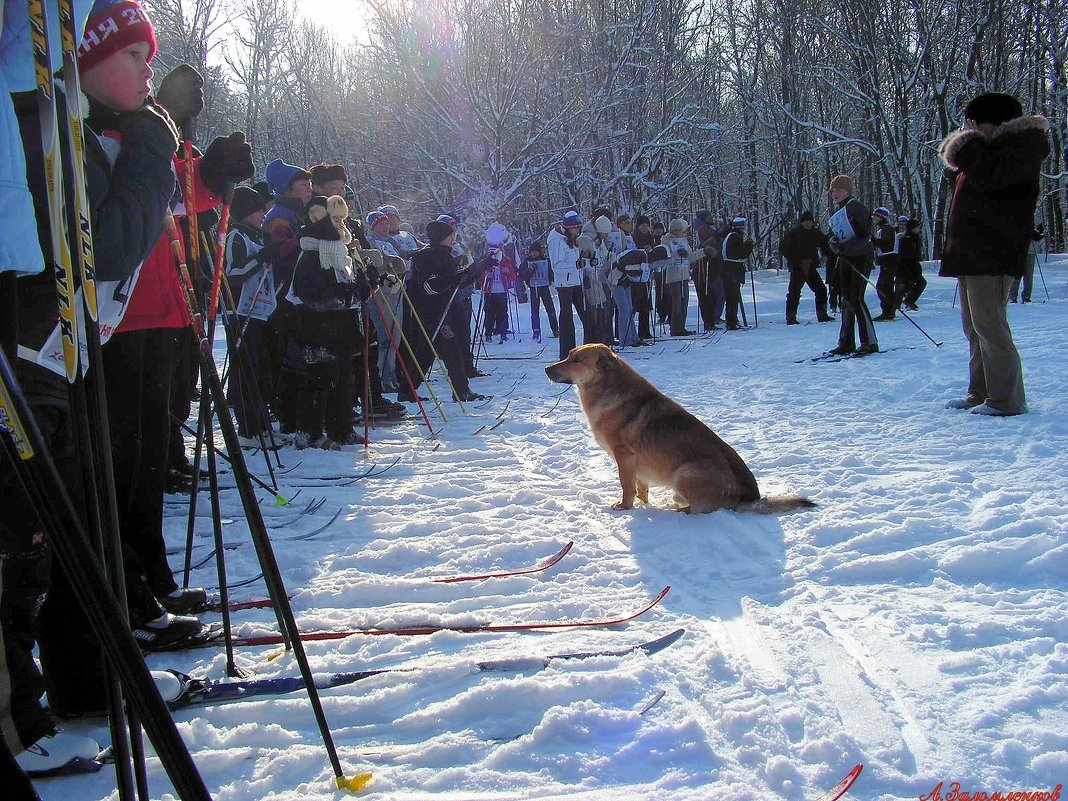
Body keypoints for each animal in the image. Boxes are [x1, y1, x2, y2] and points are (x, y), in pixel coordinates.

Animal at [546, 346, 811, 514]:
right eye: (568, 355)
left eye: (576, 360)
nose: (547, 369)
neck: (607, 388)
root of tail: (748, 497)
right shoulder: (637, 463)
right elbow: (640, 486)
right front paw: (643, 504)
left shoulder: (624, 455)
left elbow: (626, 485)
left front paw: (625, 507)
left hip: (686, 472)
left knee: (694, 510)